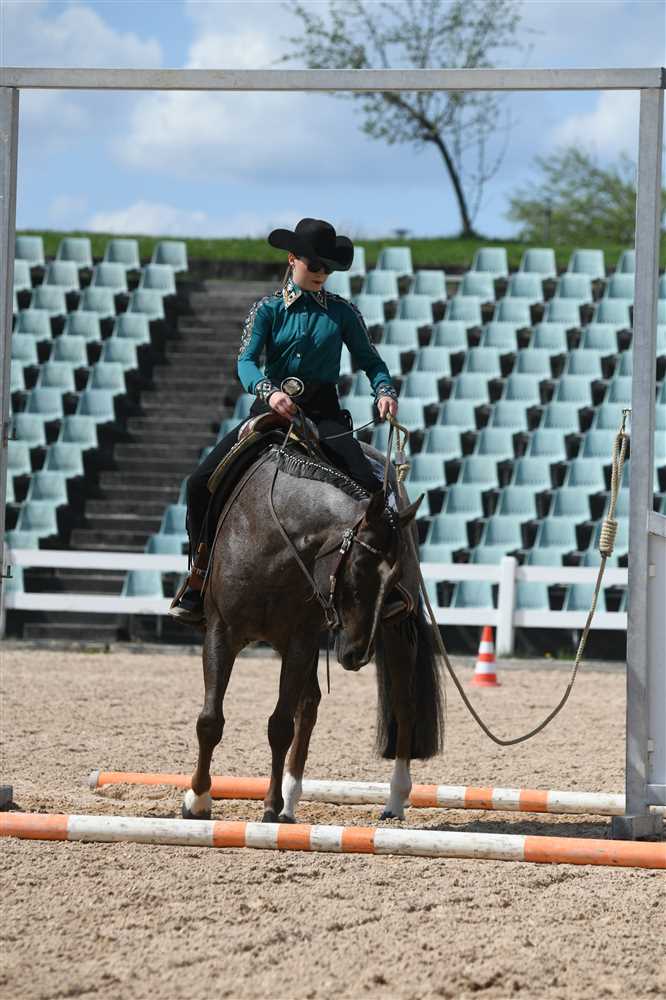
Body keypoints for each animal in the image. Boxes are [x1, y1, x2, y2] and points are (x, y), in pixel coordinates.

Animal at [182, 441, 444, 824]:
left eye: (393, 577)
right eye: (358, 566)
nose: (357, 653)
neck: (270, 538)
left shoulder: (300, 641)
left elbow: (280, 726)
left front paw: (269, 806)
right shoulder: (222, 633)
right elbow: (210, 720)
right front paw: (198, 800)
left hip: (394, 631)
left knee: (402, 704)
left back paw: (394, 799)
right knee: (310, 704)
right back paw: (291, 802)